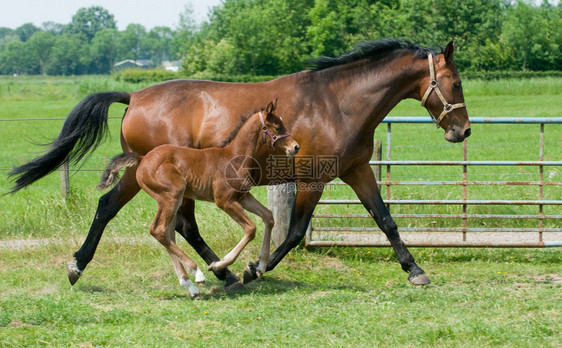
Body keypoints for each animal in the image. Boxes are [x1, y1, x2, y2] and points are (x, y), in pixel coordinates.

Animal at [97, 101, 300, 296]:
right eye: (278, 127)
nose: (295, 147)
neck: (234, 157)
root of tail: (142, 159)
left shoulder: (243, 197)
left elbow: (268, 216)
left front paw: (259, 266)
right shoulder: (224, 201)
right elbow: (251, 229)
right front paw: (219, 265)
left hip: (171, 200)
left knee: (167, 234)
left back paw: (190, 287)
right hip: (172, 195)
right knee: (159, 231)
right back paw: (197, 273)